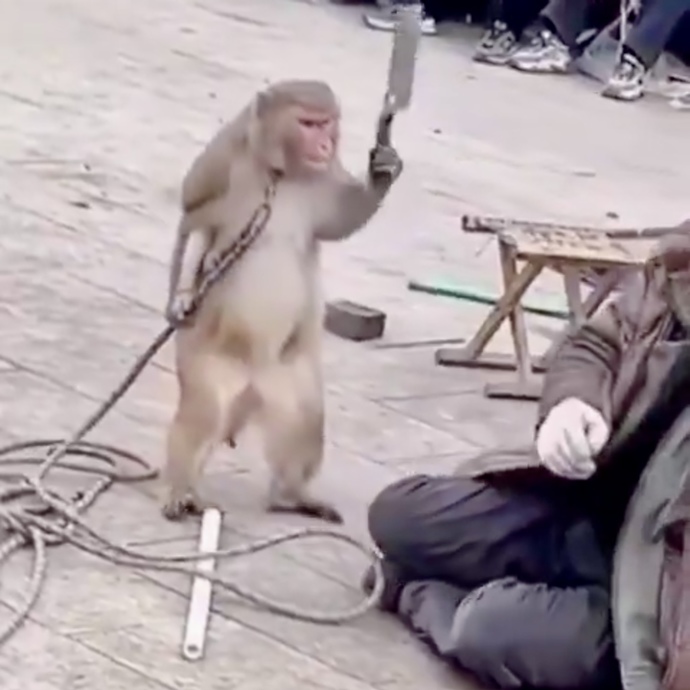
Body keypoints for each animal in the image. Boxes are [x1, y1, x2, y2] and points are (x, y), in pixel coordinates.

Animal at [162, 79, 403, 524]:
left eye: (326, 124)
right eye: (308, 123)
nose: (324, 144)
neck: (281, 172)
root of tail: (252, 384)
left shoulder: (323, 179)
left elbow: (339, 222)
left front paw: (383, 169)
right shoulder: (222, 165)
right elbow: (197, 222)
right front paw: (183, 298)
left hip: (287, 374)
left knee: (303, 420)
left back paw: (293, 496)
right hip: (209, 364)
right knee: (203, 414)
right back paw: (180, 491)